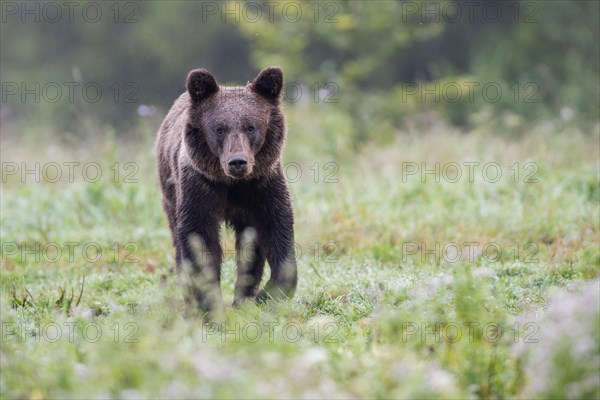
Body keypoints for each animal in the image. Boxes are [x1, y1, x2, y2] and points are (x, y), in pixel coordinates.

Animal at [155, 66, 296, 316]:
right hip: (170, 194)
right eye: (219, 129)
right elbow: (199, 237)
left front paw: (265, 296)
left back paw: (244, 298)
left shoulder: (263, 185)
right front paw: (210, 305)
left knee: (250, 247)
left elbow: (277, 228)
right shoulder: (199, 186)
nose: (237, 161)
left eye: (250, 127)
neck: (231, 184)